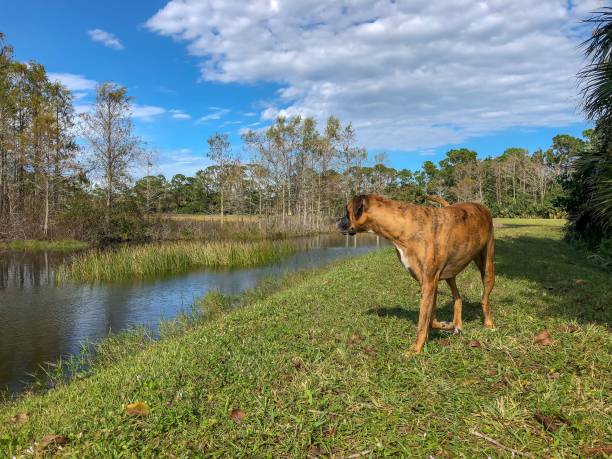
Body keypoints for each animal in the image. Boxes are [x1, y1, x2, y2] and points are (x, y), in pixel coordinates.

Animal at [338, 196, 494, 354]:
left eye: (347, 211)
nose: (337, 222)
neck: (403, 225)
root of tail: (482, 207)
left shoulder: (429, 284)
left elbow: (423, 322)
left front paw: (415, 349)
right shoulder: (429, 284)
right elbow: (430, 320)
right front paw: (447, 326)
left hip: (487, 269)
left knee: (484, 299)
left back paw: (489, 323)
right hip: (451, 275)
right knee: (458, 298)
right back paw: (457, 324)